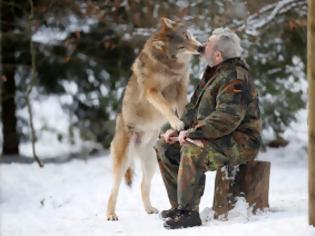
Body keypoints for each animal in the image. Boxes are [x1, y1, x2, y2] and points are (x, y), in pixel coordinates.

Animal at [107, 17, 204, 220]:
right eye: (181, 46)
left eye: (188, 35)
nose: (200, 48)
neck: (169, 66)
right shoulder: (153, 92)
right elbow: (167, 108)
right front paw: (177, 122)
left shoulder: (181, 89)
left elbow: (184, 107)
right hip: (123, 163)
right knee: (114, 190)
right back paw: (111, 215)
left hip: (151, 164)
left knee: (143, 185)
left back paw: (150, 209)